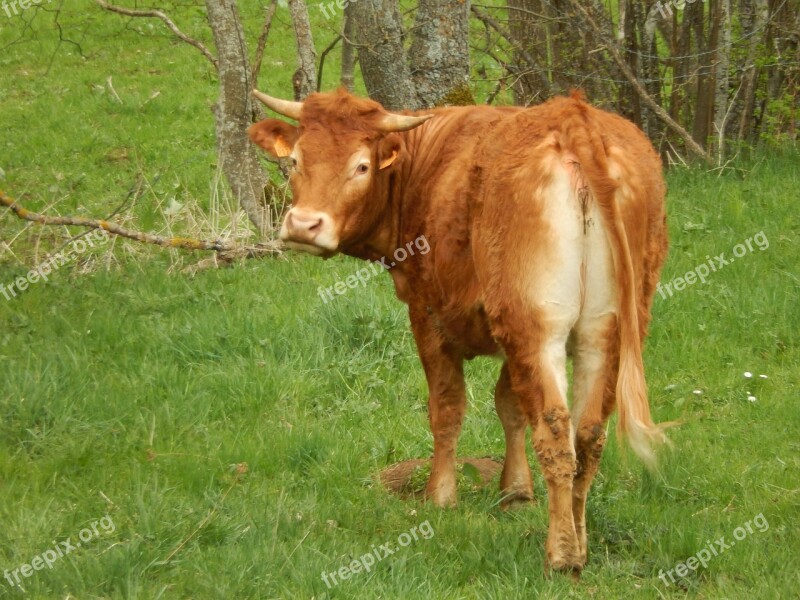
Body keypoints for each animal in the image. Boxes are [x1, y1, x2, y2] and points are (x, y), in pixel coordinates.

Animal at [248, 88, 668, 572]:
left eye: (362, 166)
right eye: (296, 159)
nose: (303, 225)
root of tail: (574, 117)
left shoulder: (429, 314)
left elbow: (447, 409)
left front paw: (441, 495)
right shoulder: (505, 331)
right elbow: (509, 405)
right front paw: (515, 491)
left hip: (538, 329)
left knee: (555, 431)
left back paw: (561, 555)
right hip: (603, 332)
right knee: (588, 434)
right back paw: (579, 543)